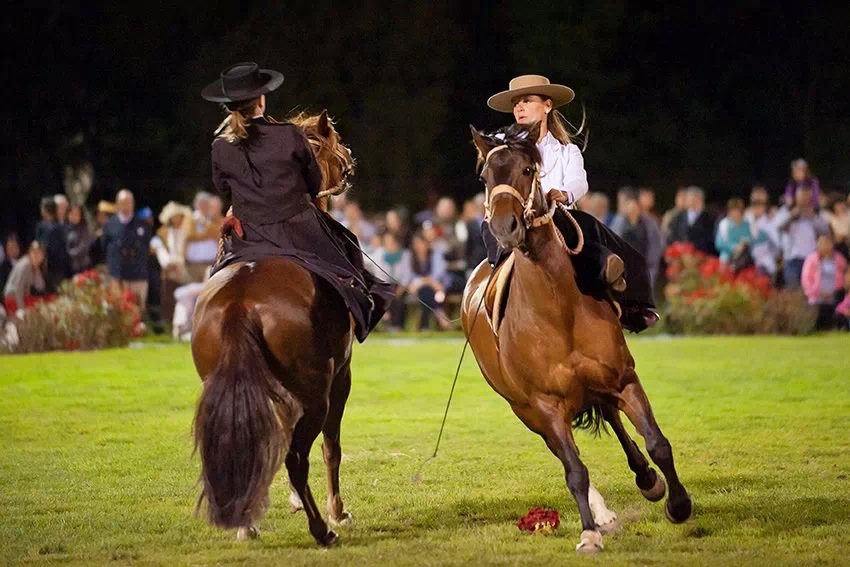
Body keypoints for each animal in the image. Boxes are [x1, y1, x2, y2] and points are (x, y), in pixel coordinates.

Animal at [194, 110, 356, 544]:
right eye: (333, 140)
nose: (349, 160)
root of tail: (239, 302)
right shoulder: (342, 375)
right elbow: (331, 447)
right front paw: (337, 510)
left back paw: (245, 524)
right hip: (317, 394)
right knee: (297, 457)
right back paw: (322, 529)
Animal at [458, 124, 688, 556]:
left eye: (528, 169)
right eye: (484, 177)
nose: (505, 228)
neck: (557, 305)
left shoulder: (623, 379)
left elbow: (657, 442)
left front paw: (678, 504)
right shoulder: (546, 406)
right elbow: (575, 470)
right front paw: (589, 533)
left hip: (597, 386)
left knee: (613, 419)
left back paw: (647, 480)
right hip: (527, 411)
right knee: (568, 453)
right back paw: (605, 513)